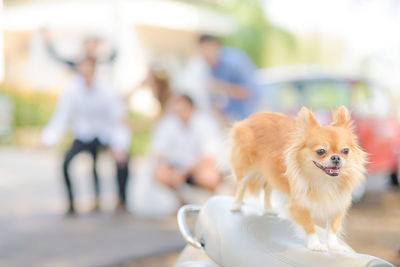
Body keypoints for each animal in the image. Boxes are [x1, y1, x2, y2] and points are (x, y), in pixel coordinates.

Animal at [231, 107, 366, 253]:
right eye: (321, 151)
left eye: (345, 151)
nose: (336, 157)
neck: (324, 180)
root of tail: (253, 117)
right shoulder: (298, 206)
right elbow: (310, 226)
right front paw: (315, 245)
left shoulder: (337, 205)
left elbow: (332, 229)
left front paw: (333, 245)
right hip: (245, 169)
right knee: (241, 186)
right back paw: (236, 205)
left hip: (270, 174)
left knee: (267, 190)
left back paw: (268, 209)